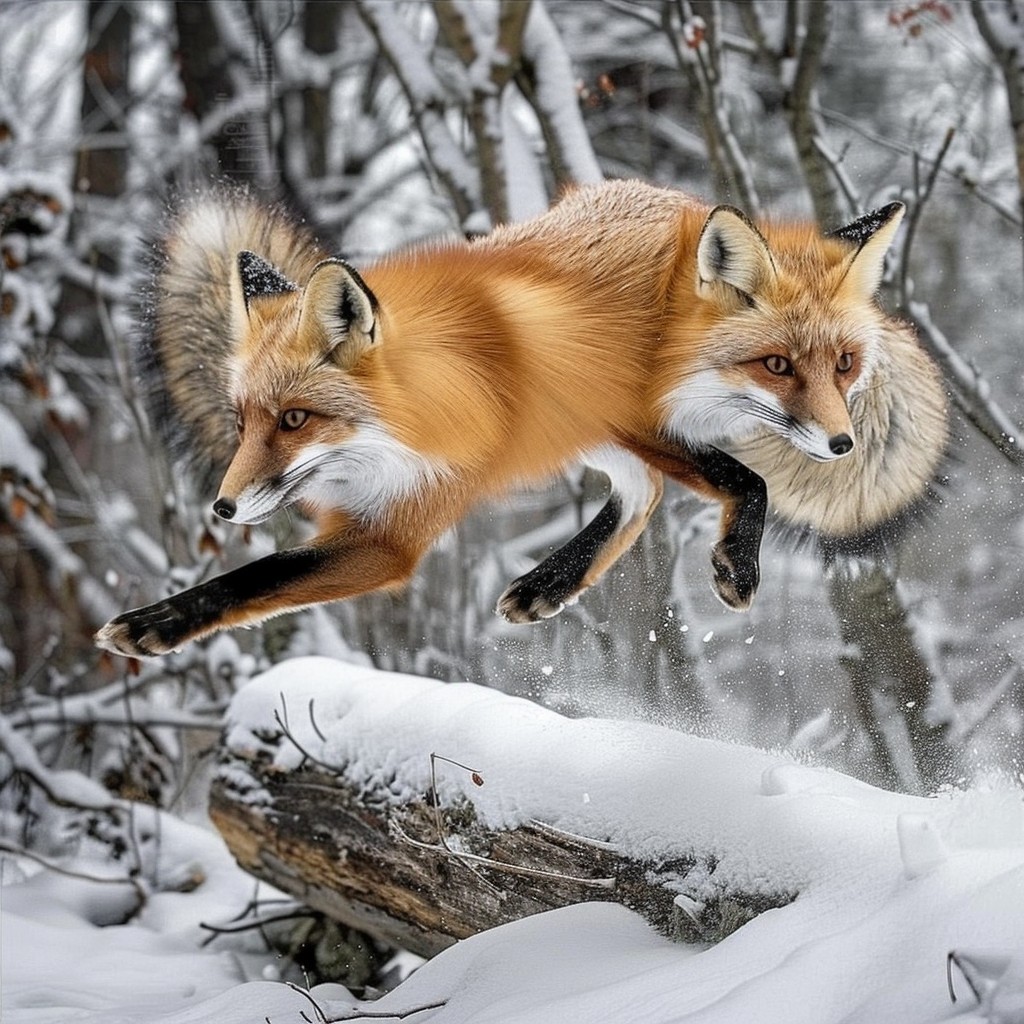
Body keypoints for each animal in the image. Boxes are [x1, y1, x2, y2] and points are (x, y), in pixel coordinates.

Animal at [95, 180, 946, 658]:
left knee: (676, 486)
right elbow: (252, 574)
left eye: (298, 418)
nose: (222, 506)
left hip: (610, 418)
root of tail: (679, 204)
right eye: (246, 420)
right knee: (645, 493)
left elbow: (254, 575)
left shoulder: (390, 536)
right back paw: (550, 584)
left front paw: (157, 625)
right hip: (601, 425)